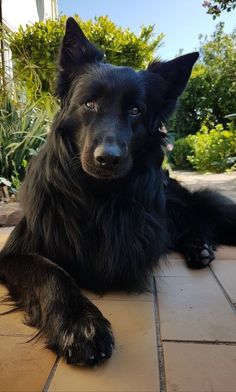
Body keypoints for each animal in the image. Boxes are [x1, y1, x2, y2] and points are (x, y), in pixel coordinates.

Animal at [0, 17, 236, 368]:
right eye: (89, 103)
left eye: (136, 110)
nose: (108, 158)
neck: (98, 195)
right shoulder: (16, 253)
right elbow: (52, 272)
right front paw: (80, 323)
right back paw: (199, 248)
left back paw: (200, 245)